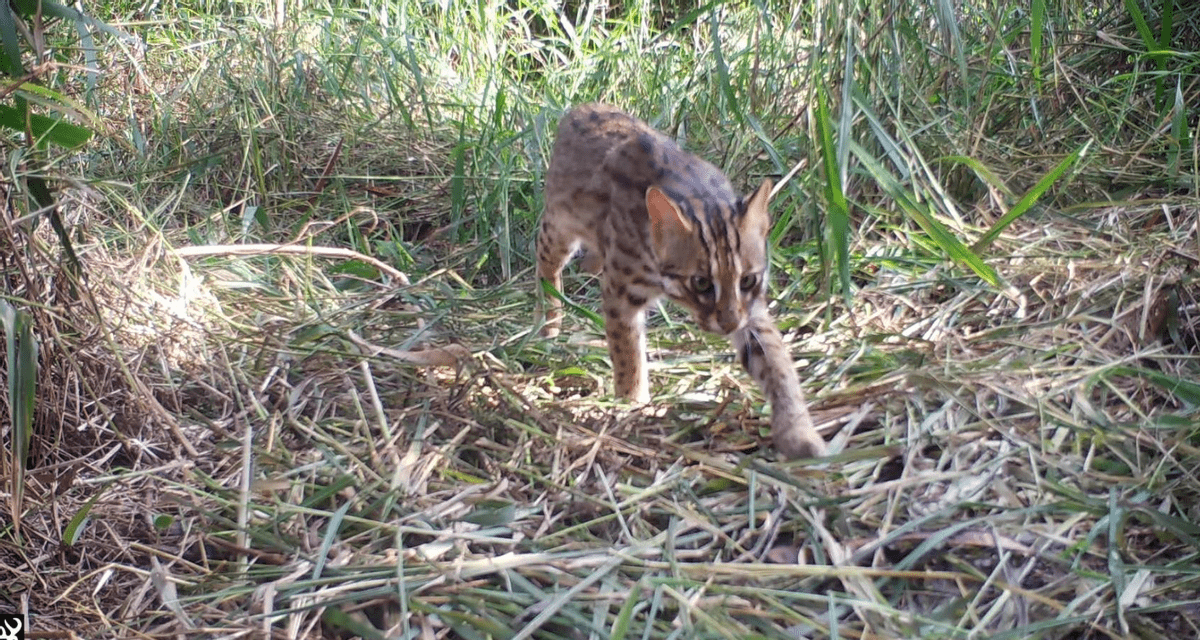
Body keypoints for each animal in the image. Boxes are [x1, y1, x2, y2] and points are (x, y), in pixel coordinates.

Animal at [537, 102, 825, 456]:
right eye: (701, 283)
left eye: (747, 280)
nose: (728, 324)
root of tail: (585, 105)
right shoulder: (620, 293)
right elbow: (627, 351)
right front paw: (633, 402)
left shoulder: (751, 311)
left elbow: (777, 364)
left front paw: (798, 432)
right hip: (558, 225)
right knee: (545, 262)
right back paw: (547, 322)